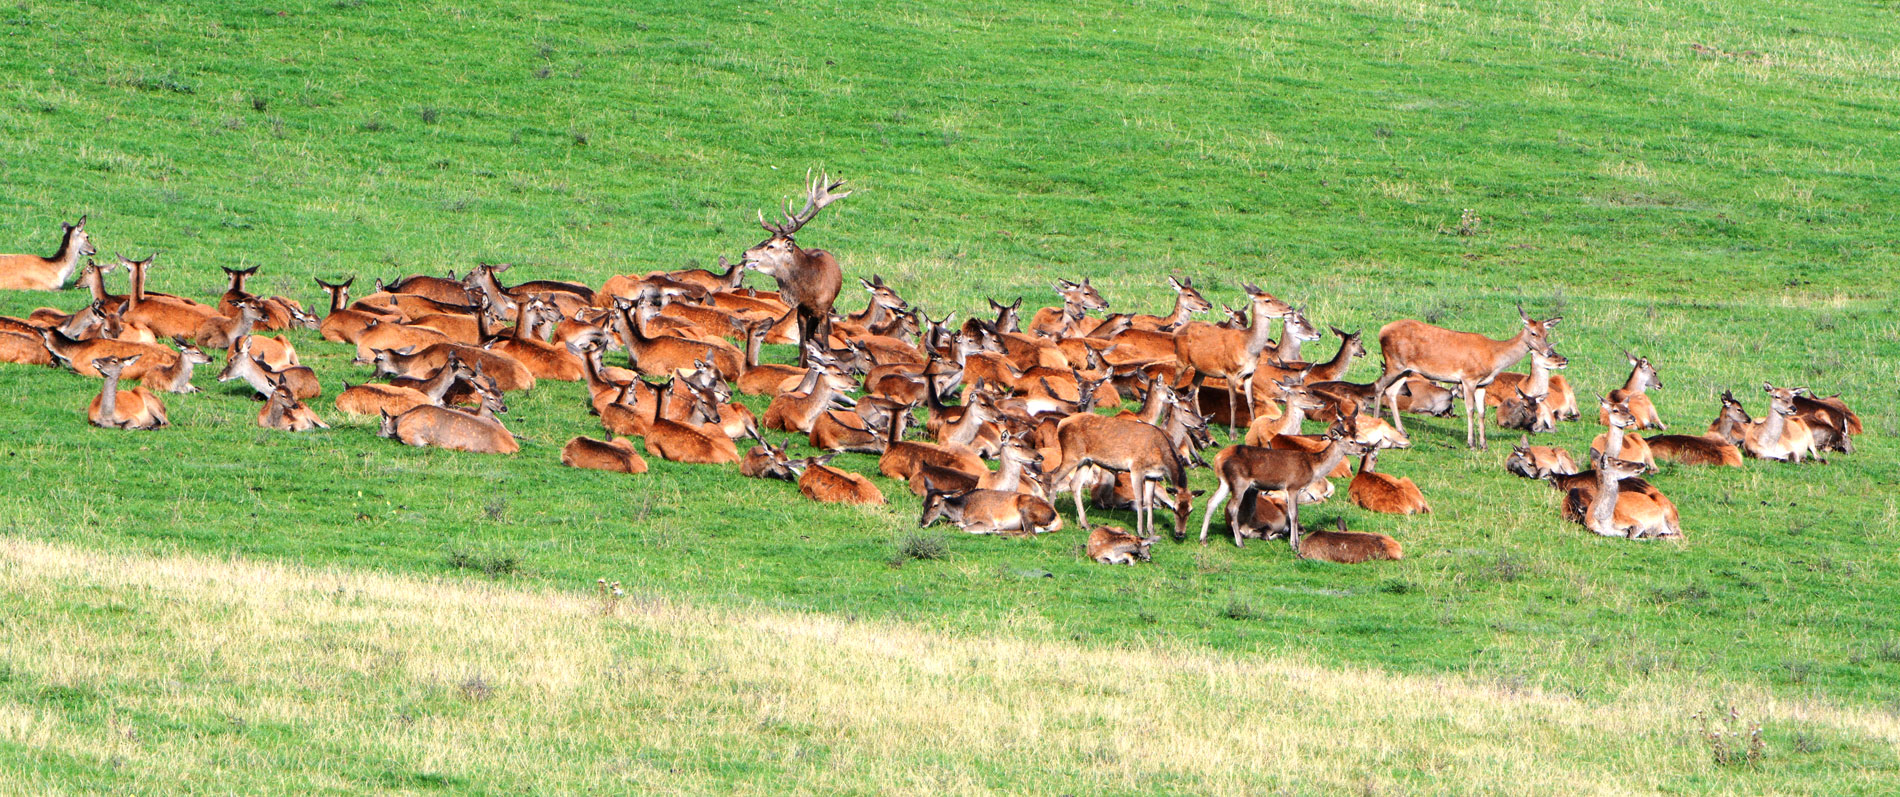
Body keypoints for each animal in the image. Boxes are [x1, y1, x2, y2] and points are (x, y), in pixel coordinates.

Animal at [744, 171, 851, 369]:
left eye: (770, 245)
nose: (745, 253)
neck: (810, 290)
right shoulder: (801, 310)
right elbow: (802, 344)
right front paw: (802, 367)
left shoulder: (824, 311)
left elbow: (825, 345)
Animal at [923, 486, 1071, 536]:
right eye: (923, 503)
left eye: (935, 504)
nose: (923, 523)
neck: (963, 510)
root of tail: (1058, 519)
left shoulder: (987, 520)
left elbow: (965, 528)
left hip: (1026, 509)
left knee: (1029, 532)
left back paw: (995, 532)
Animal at [1375, 304, 1565, 447]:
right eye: (1533, 333)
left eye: (1546, 334)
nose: (1548, 352)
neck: (1494, 358)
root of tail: (1381, 331)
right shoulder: (1468, 378)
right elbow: (1470, 409)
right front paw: (1471, 443)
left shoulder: (1482, 384)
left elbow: (1481, 411)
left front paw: (1484, 444)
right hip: (1394, 363)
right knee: (1379, 385)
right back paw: (1376, 420)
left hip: (1405, 370)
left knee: (1391, 391)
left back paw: (1403, 431)